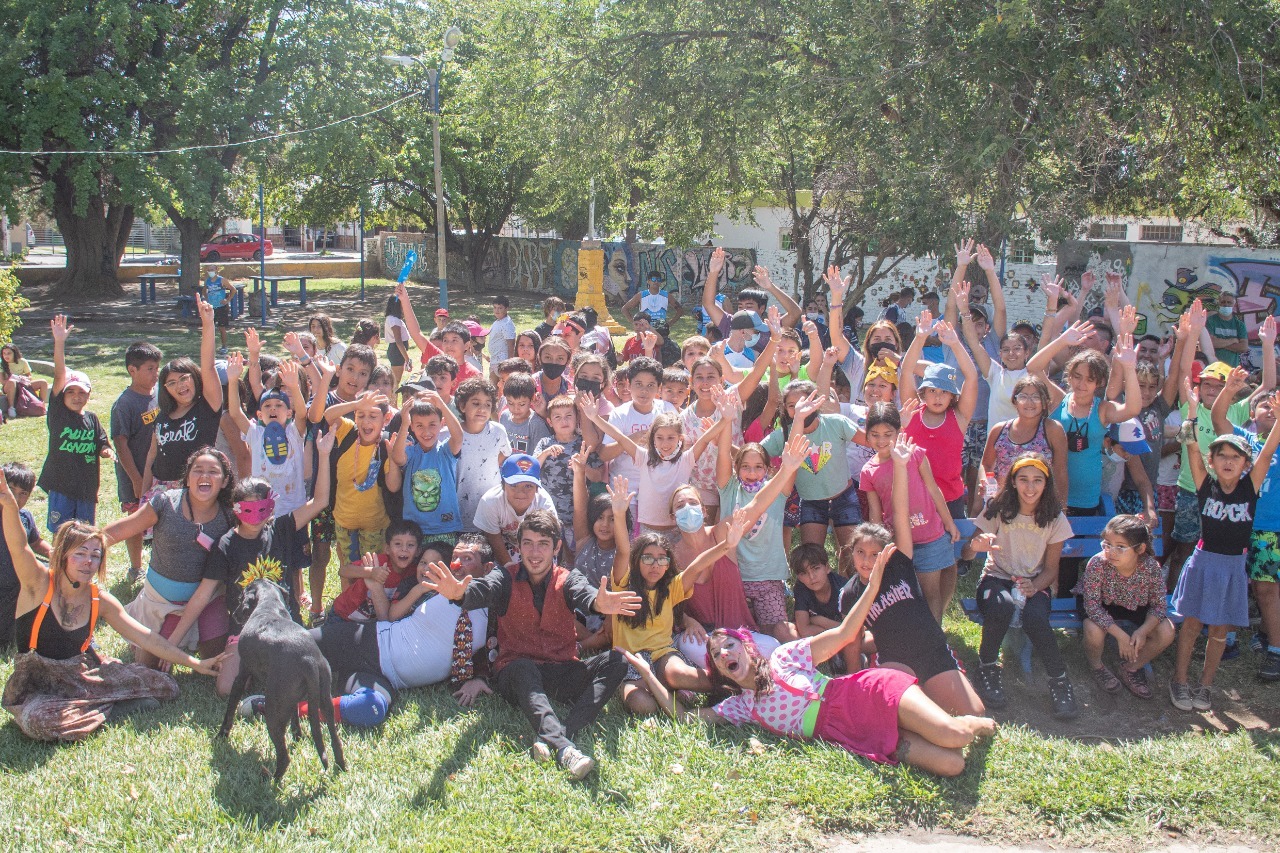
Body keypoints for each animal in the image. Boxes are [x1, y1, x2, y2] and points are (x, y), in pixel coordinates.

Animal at [217, 573, 345, 778]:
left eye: (241, 597)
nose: (235, 615)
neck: (268, 606)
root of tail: (308, 659)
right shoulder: (292, 700)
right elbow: (295, 719)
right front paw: (298, 736)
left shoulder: (241, 675)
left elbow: (230, 709)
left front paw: (222, 735)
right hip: (326, 704)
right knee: (335, 742)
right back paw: (339, 766)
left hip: (272, 711)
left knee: (284, 758)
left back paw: (270, 778)